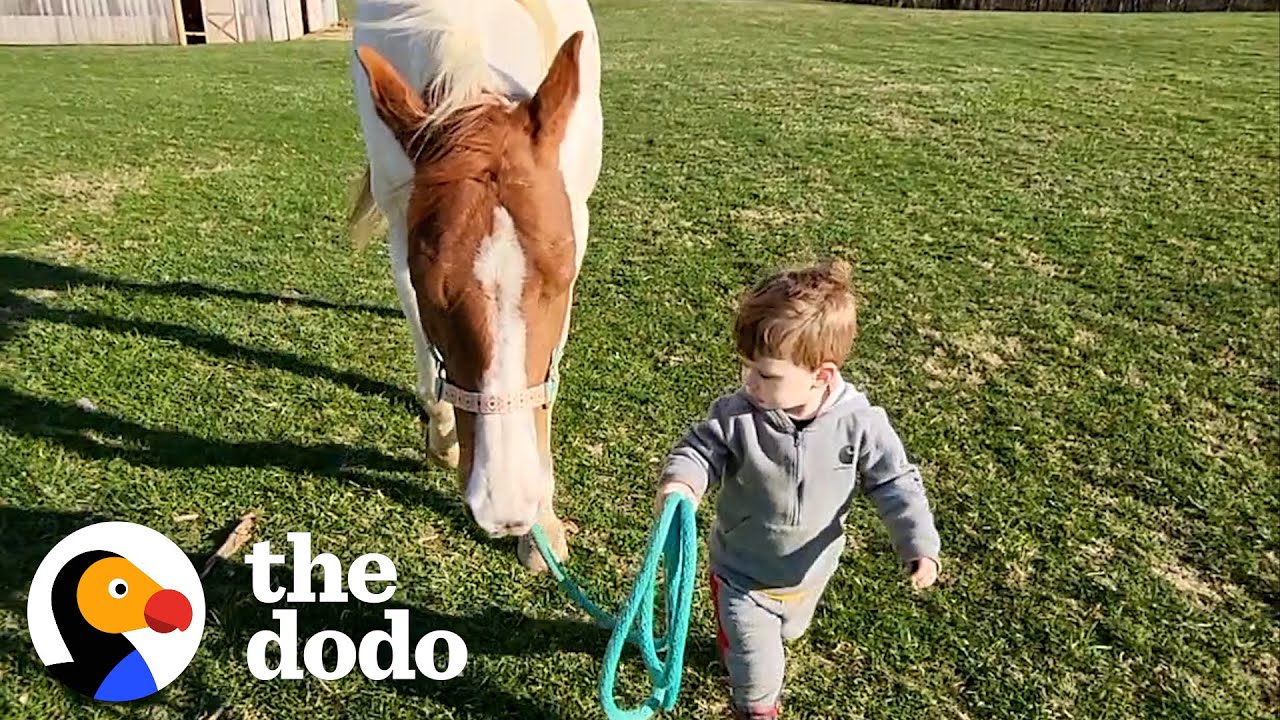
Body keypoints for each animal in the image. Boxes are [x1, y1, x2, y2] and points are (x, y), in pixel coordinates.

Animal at [348, 1, 601, 571]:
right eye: (433, 289)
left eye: (560, 279)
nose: (505, 506)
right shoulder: (402, 227)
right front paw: (442, 435)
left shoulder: (575, 221)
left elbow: (546, 383)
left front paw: (543, 525)